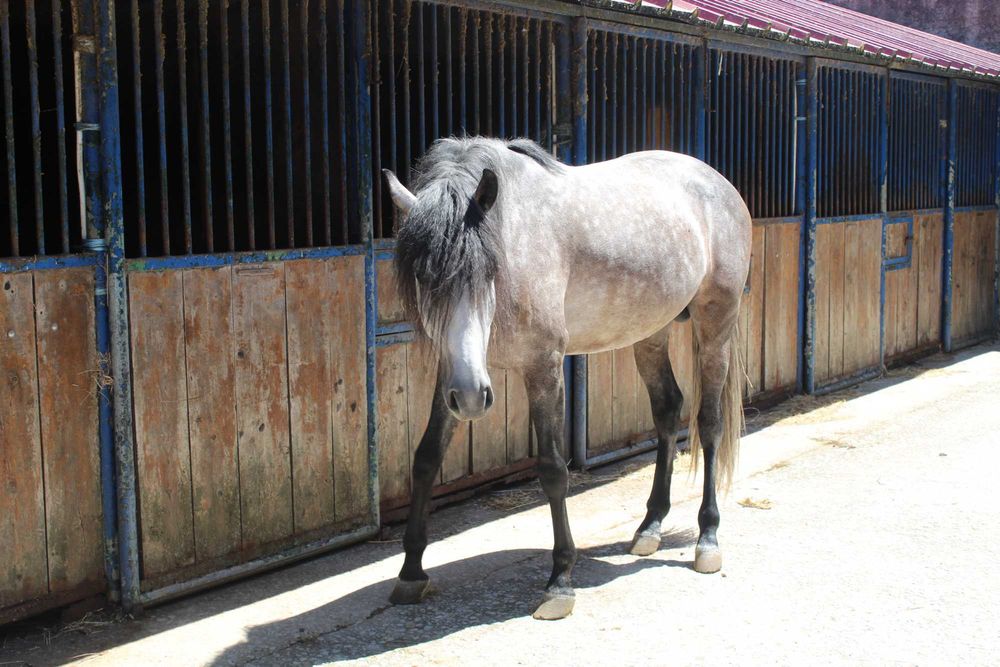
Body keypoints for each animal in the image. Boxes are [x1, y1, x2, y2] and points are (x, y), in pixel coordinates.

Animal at [381, 136, 750, 620]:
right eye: (425, 279)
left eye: (487, 272)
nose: (475, 400)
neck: (514, 232)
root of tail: (719, 183)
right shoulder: (455, 375)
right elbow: (425, 459)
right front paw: (410, 573)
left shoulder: (543, 366)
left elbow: (553, 469)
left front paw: (560, 581)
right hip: (650, 332)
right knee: (668, 411)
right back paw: (649, 528)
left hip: (716, 325)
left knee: (708, 426)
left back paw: (707, 539)